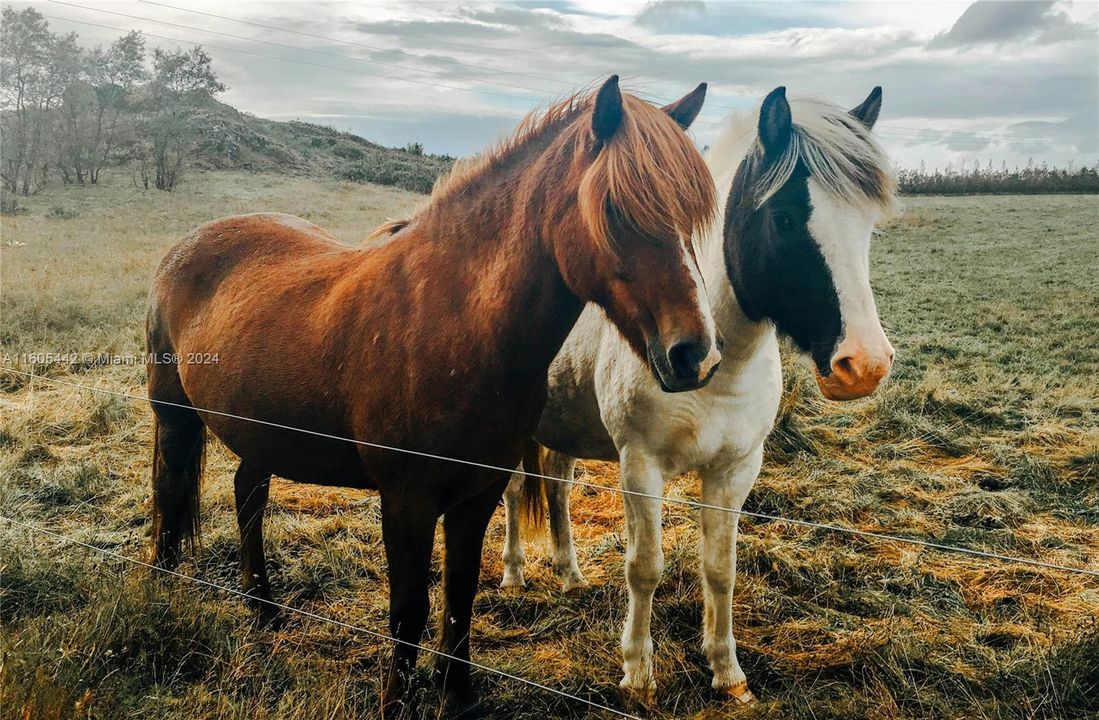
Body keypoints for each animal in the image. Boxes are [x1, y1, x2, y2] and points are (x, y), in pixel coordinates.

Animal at [141, 77, 716, 716]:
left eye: (694, 216)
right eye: (614, 208)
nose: (694, 354)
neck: (452, 323)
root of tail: (186, 246)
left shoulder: (477, 494)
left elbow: (461, 597)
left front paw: (458, 694)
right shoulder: (407, 499)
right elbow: (409, 609)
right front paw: (396, 700)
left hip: (262, 432)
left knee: (249, 495)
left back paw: (263, 609)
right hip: (174, 416)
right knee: (170, 494)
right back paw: (164, 594)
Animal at [505, 85, 901, 703]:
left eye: (867, 227)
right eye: (785, 218)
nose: (864, 365)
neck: (720, 368)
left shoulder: (734, 471)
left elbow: (720, 568)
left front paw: (727, 670)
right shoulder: (640, 467)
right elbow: (644, 567)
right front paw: (638, 673)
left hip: (563, 427)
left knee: (555, 490)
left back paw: (569, 575)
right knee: (514, 492)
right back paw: (514, 573)